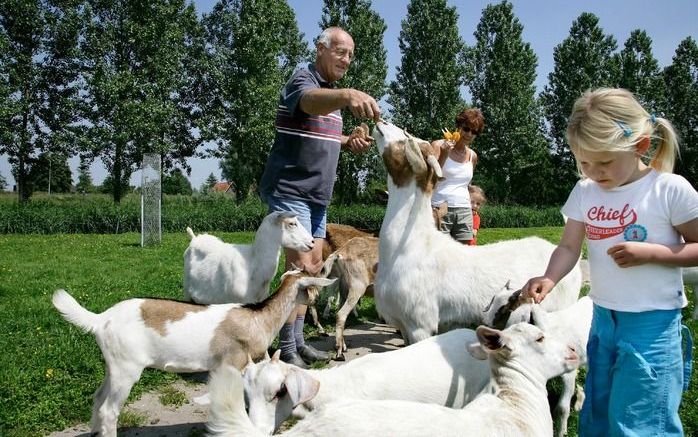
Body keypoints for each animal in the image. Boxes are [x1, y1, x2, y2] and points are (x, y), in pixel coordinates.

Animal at [52, 270, 334, 434]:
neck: (259, 318)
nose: (314, 299)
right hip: (126, 369)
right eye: (310, 286)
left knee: (98, 398)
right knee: (109, 411)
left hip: (113, 367)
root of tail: (102, 319)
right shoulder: (234, 362)